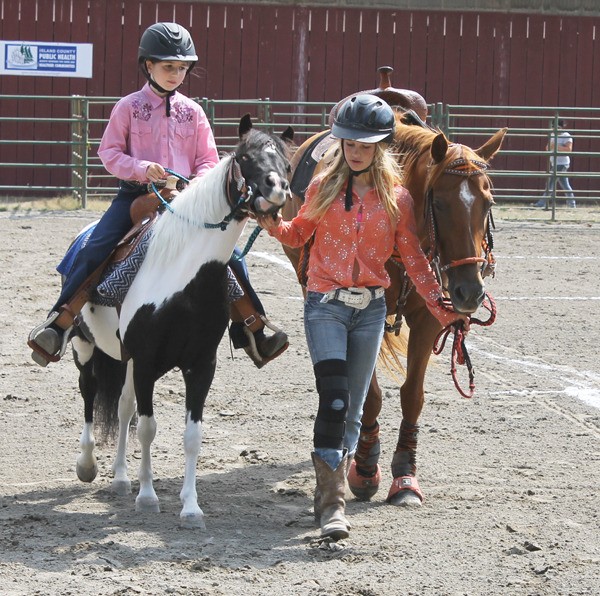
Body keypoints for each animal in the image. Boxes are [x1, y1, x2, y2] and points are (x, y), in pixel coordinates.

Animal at [71, 116, 292, 528]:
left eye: (287, 163)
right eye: (245, 157)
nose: (277, 189)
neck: (181, 278)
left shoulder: (200, 365)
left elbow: (191, 436)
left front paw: (190, 507)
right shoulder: (145, 363)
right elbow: (147, 427)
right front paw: (147, 497)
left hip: (125, 360)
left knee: (122, 406)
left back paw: (121, 478)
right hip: (85, 346)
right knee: (90, 395)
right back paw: (88, 465)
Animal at [282, 110, 506, 502]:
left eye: (488, 203)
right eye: (440, 203)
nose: (469, 292)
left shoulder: (428, 320)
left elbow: (412, 396)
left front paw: (404, 474)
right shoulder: (364, 318)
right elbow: (369, 396)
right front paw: (365, 470)